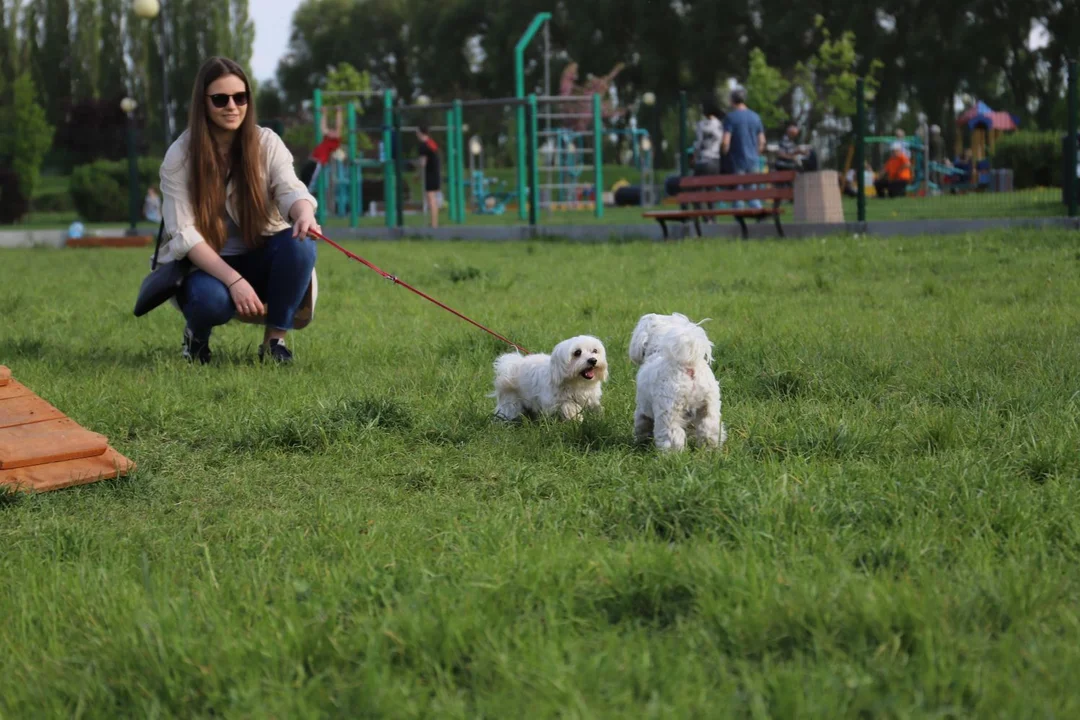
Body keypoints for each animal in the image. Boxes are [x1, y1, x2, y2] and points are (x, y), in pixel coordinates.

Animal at [630, 317, 725, 451]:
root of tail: (688, 366)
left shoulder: (642, 408)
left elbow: (641, 425)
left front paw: (640, 442)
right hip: (709, 408)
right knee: (710, 431)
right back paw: (710, 450)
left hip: (669, 411)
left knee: (672, 436)